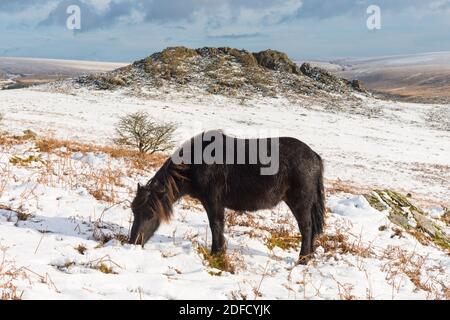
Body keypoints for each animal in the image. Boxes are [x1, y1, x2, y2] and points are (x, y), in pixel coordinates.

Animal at [129, 131, 324, 264]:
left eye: (150, 214)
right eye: (134, 212)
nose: (133, 243)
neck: (197, 163)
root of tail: (314, 156)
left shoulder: (213, 202)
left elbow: (216, 225)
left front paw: (216, 253)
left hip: (300, 203)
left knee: (306, 228)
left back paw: (303, 260)